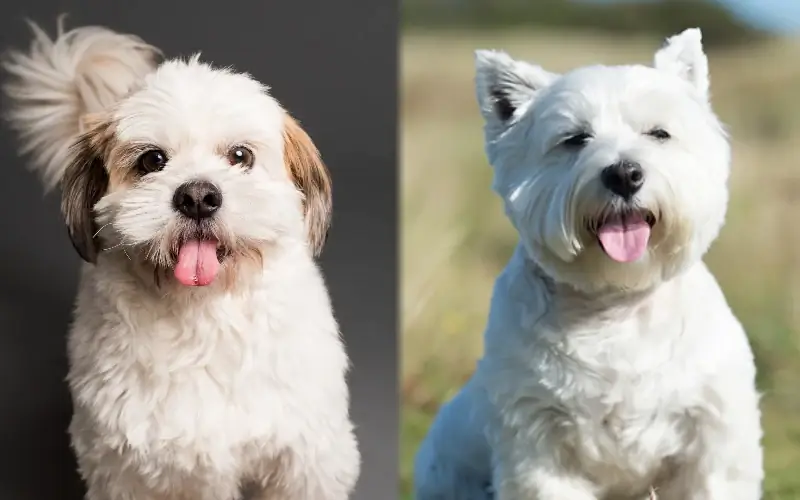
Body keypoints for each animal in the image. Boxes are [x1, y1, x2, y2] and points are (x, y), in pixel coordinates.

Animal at [3, 20, 360, 500]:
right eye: (152, 160)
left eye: (240, 155)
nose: (197, 196)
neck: (203, 315)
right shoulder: (123, 468)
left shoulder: (307, 456)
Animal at [412, 28, 764, 500]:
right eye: (574, 138)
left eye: (659, 133)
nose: (624, 174)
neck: (616, 304)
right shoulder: (539, 446)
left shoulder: (712, 437)